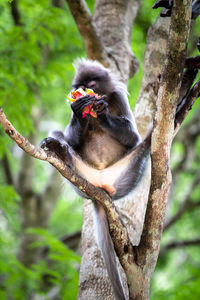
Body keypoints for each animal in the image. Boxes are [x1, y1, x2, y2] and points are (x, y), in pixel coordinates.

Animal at [40, 59, 152, 300]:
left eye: (90, 83)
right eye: (79, 86)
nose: (83, 91)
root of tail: (98, 186)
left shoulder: (118, 97)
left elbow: (133, 137)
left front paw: (102, 114)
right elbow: (72, 139)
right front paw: (79, 109)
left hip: (125, 174)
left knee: (147, 142)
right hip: (80, 176)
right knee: (60, 138)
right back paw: (59, 151)